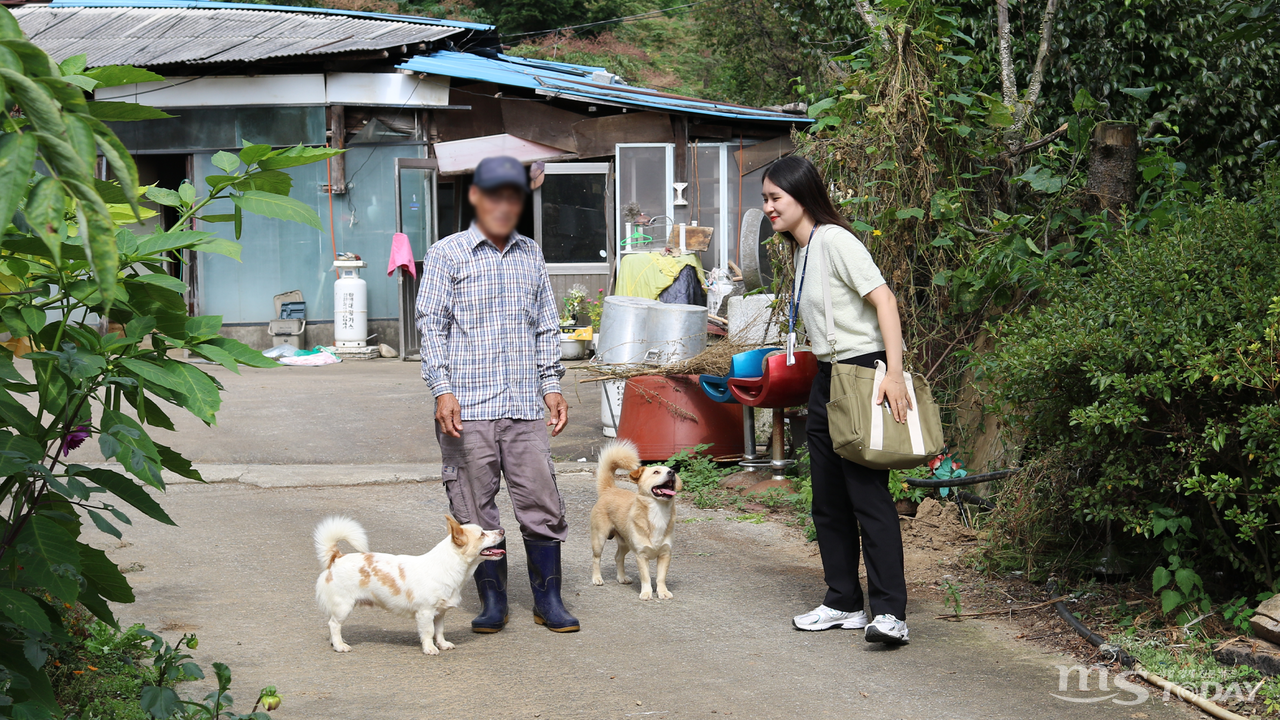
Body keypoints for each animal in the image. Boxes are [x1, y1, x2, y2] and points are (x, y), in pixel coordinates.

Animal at [312, 512, 501, 653]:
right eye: (482, 534)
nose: (502, 530)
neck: (447, 567)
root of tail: (337, 557)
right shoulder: (425, 613)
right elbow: (428, 631)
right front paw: (430, 648)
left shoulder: (440, 613)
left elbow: (439, 631)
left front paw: (442, 644)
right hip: (344, 606)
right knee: (334, 624)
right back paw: (340, 646)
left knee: (332, 623)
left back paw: (337, 641)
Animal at [591, 438, 686, 599]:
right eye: (656, 472)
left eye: (670, 470)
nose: (672, 472)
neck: (658, 512)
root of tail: (610, 489)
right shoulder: (641, 556)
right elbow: (646, 577)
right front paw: (647, 593)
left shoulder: (665, 554)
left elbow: (661, 577)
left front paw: (662, 592)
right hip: (599, 538)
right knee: (596, 558)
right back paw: (597, 578)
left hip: (625, 543)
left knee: (618, 557)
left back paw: (622, 577)